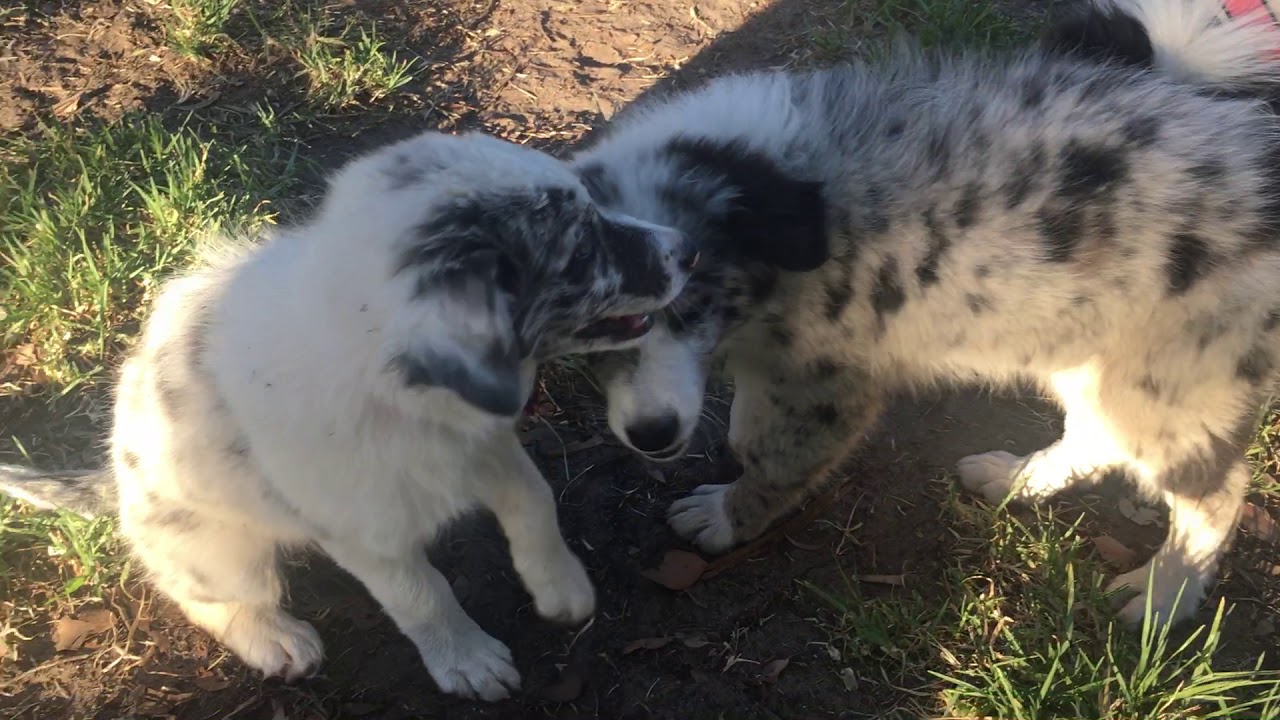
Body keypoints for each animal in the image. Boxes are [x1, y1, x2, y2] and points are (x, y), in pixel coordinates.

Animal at [0, 128, 696, 696]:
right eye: (581, 253)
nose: (686, 249)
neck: (404, 401)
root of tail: (116, 481)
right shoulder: (365, 535)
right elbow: (423, 597)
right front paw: (466, 660)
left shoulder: (486, 444)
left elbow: (536, 501)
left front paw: (560, 586)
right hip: (215, 547)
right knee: (202, 593)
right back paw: (272, 636)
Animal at [576, 0, 1280, 620]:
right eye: (588, 332)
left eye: (693, 306)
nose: (652, 434)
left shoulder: (823, 381)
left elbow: (773, 453)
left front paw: (727, 516)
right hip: (1090, 346)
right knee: (1096, 428)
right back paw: (1020, 479)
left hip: (1169, 374)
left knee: (1214, 492)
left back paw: (1164, 595)